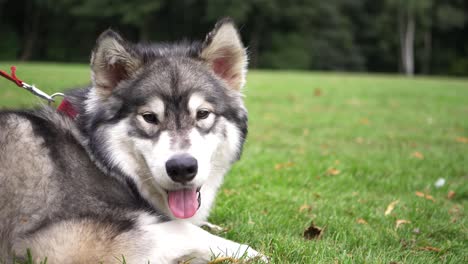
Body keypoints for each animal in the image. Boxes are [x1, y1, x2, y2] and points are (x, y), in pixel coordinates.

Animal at [0, 18, 266, 262]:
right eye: (149, 117)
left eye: (202, 114)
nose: (182, 168)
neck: (99, 159)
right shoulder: (62, 241)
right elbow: (180, 228)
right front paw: (245, 251)